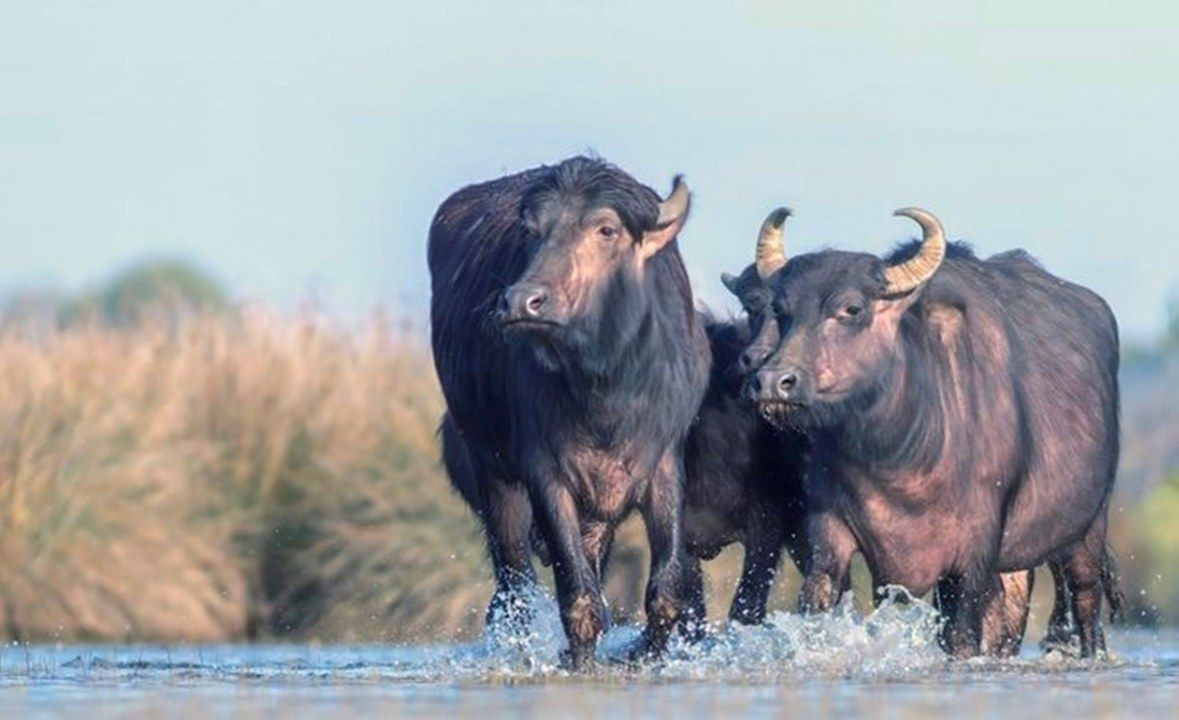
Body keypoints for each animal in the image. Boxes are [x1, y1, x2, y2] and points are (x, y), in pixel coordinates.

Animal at [433, 154, 707, 669]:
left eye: (606, 229)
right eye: (532, 231)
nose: (521, 301)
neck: (606, 390)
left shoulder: (663, 463)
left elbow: (666, 592)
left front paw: (642, 655)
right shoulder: (545, 474)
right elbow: (578, 596)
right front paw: (579, 660)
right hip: (490, 473)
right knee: (514, 585)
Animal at [749, 209, 1117, 659]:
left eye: (851, 308)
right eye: (782, 312)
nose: (772, 382)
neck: (896, 457)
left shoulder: (973, 552)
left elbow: (960, 636)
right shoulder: (828, 531)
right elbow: (817, 606)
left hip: (1086, 530)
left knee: (1085, 602)